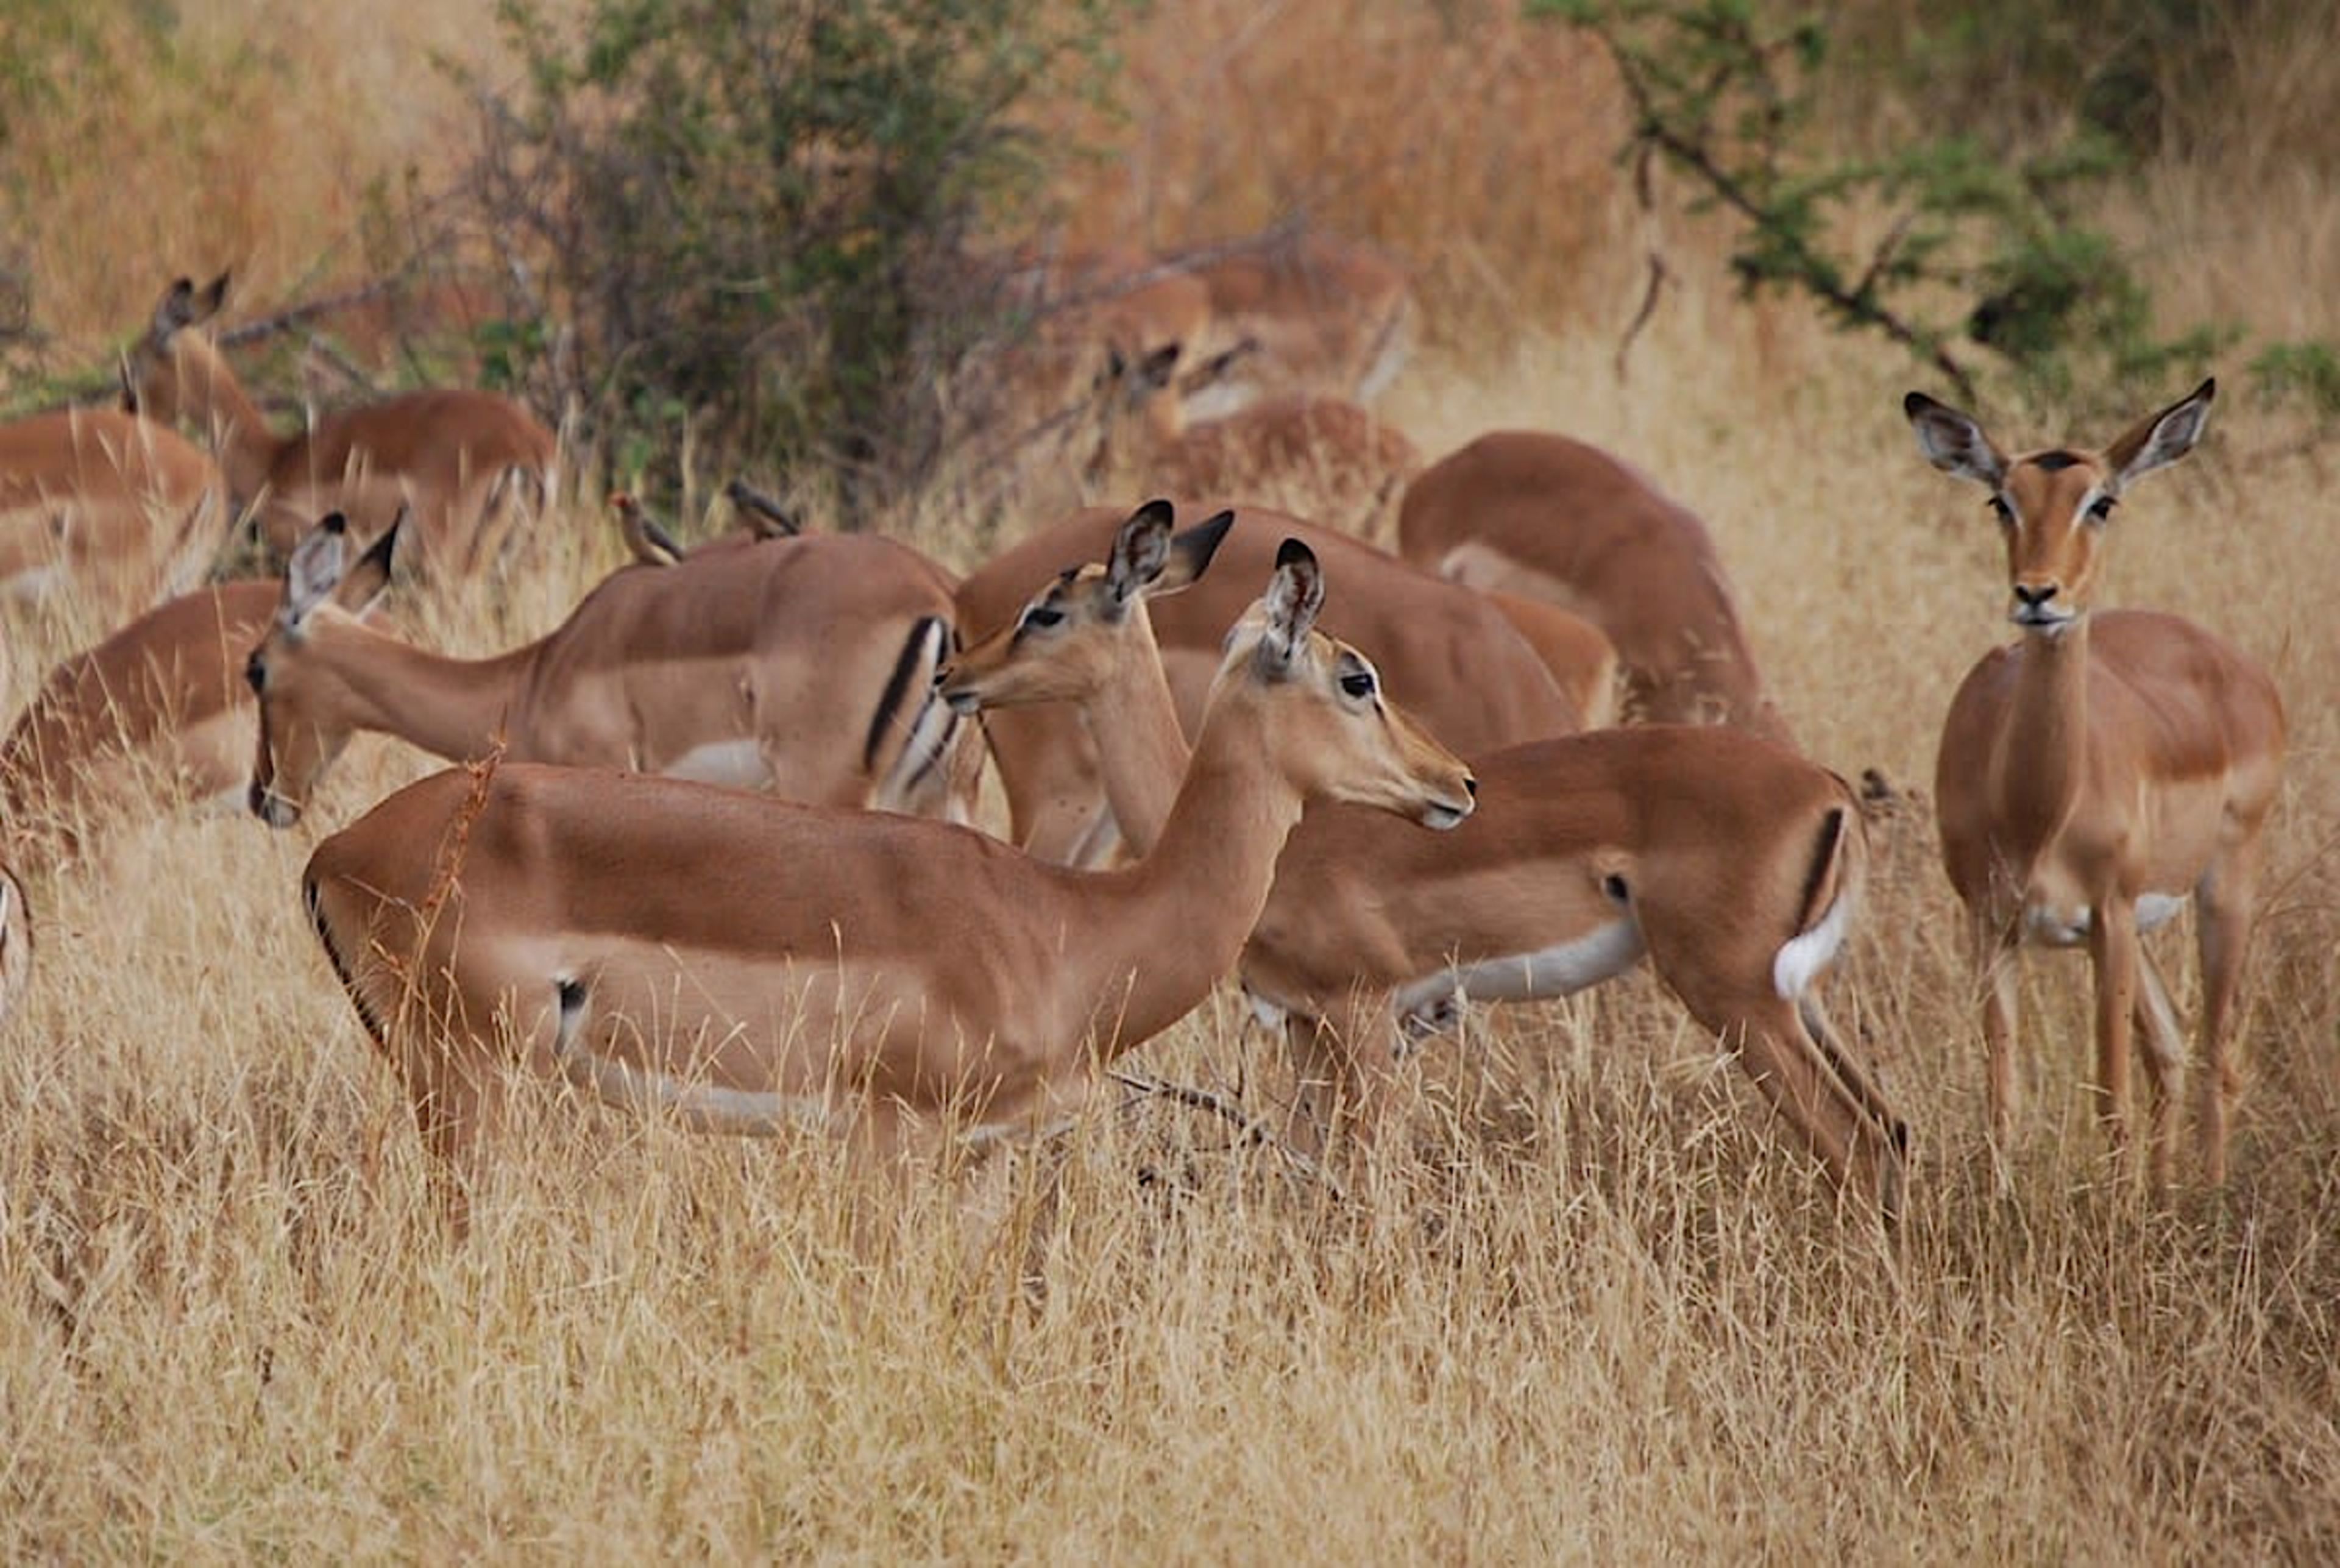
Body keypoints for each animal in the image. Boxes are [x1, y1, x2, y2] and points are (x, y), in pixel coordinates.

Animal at [247, 513, 983, 830]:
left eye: (255, 669)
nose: (264, 798)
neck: (537, 674)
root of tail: (938, 595)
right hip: (945, 791)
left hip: (829, 784)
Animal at [300, 539, 1476, 1218]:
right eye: (1357, 676)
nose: (1457, 783)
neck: (1071, 925)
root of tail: (336, 849)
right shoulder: (890, 1139)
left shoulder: (991, 1154)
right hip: (471, 1080)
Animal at [1905, 379, 2285, 1186]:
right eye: (2002, 500)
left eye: (2100, 502)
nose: (2037, 593)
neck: (2034, 812)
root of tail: (2237, 665)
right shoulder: (1992, 924)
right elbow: (2003, 1099)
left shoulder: (2106, 917)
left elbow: (2110, 1096)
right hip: (2134, 931)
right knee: (2170, 1044)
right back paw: (2166, 1194)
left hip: (2220, 889)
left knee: (2216, 1053)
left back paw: (2207, 1194)